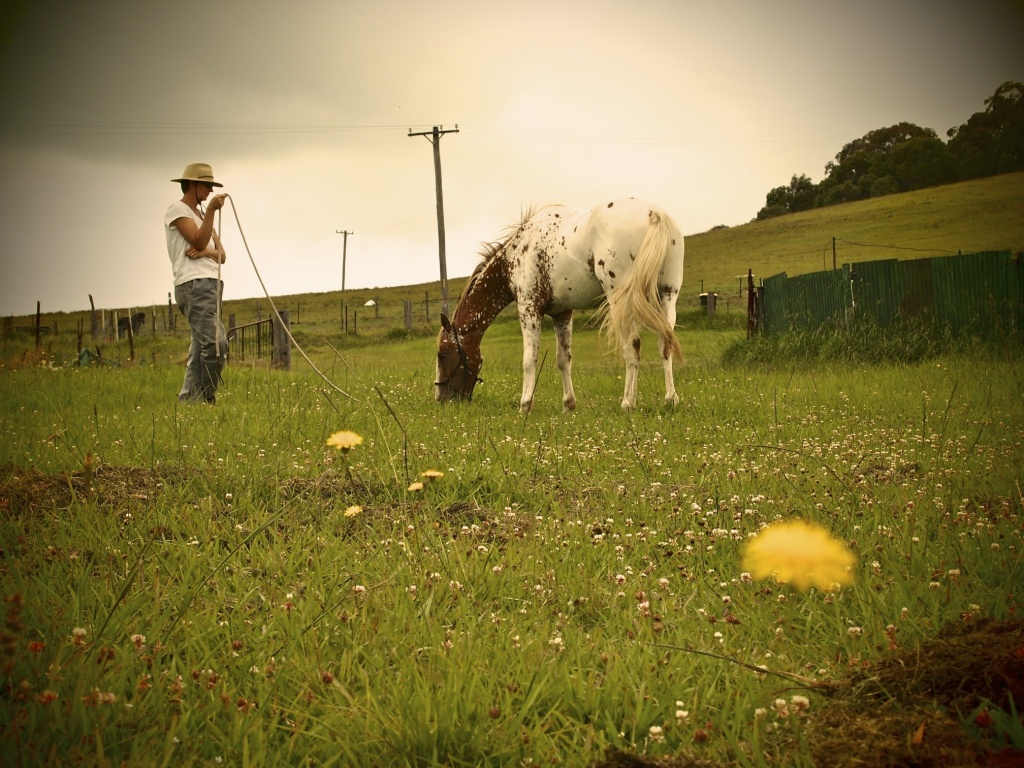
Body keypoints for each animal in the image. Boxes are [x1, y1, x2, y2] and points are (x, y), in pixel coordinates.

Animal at [434, 201, 684, 411]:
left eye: (442, 355)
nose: (441, 398)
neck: (517, 253)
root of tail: (654, 213)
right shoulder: (562, 314)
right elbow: (564, 360)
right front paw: (568, 405)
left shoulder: (529, 308)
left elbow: (529, 359)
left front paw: (525, 405)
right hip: (667, 295)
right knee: (665, 343)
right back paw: (670, 399)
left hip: (620, 301)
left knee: (632, 346)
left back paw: (628, 403)